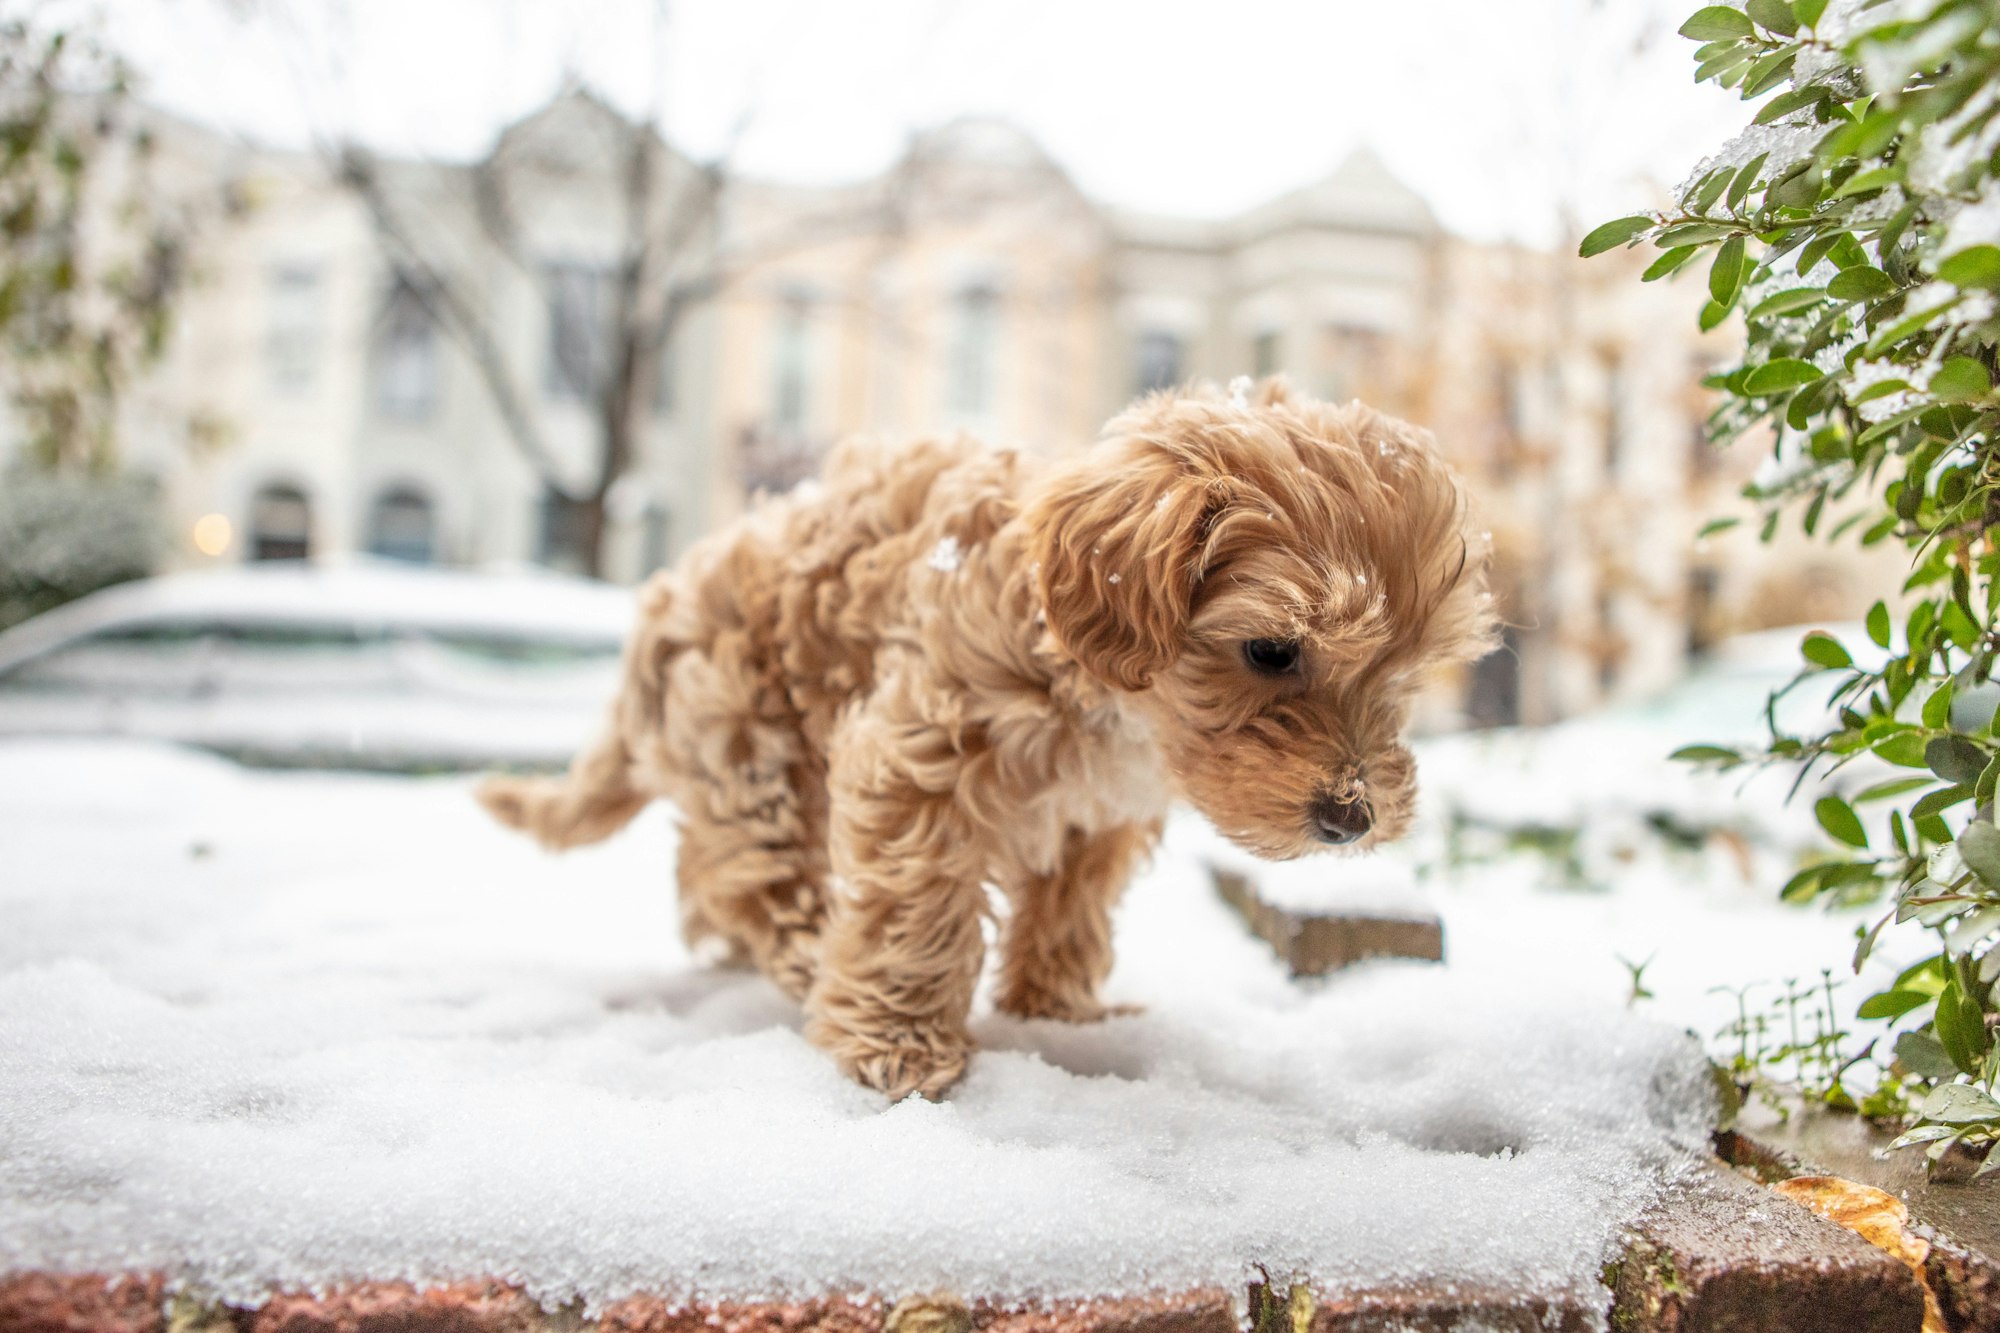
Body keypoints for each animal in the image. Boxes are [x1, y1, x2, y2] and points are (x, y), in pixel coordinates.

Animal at [480, 378, 1488, 1096]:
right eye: (1272, 650)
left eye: (1402, 673)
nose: (1353, 818)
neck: (1114, 705)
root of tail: (656, 610)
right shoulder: (920, 749)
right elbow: (914, 904)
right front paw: (898, 1044)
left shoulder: (1099, 815)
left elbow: (1070, 906)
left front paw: (1059, 1010)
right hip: (742, 738)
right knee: (753, 873)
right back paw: (807, 955)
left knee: (711, 878)